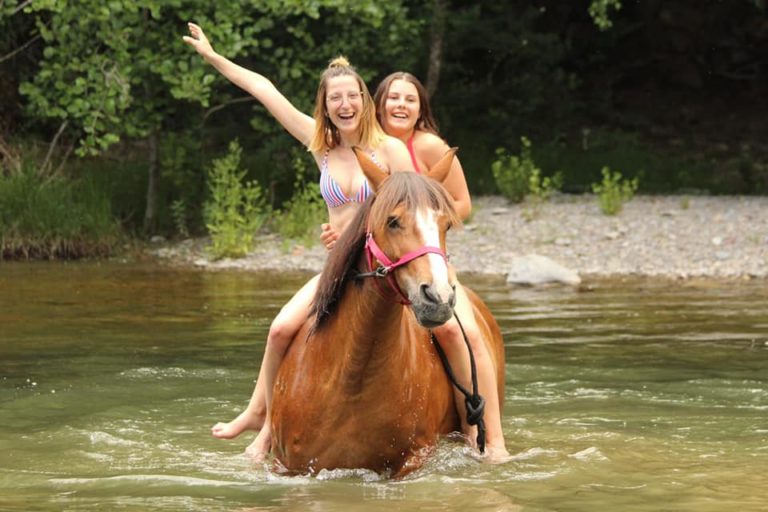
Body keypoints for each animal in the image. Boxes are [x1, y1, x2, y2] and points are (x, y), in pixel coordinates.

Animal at [268, 150, 508, 478]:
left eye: (446, 225)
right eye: (393, 221)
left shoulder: (413, 460)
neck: (351, 378)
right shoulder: (287, 466)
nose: (439, 297)